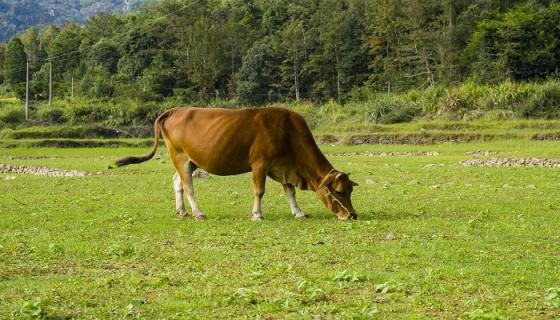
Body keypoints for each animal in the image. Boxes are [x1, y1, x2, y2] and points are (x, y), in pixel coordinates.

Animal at [116, 107, 358, 220]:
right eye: (338, 191)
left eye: (350, 191)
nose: (353, 215)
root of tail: (175, 110)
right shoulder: (260, 163)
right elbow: (259, 191)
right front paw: (257, 215)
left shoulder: (284, 166)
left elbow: (290, 191)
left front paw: (298, 212)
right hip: (181, 157)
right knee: (187, 185)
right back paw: (198, 212)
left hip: (191, 160)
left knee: (176, 181)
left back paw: (182, 211)